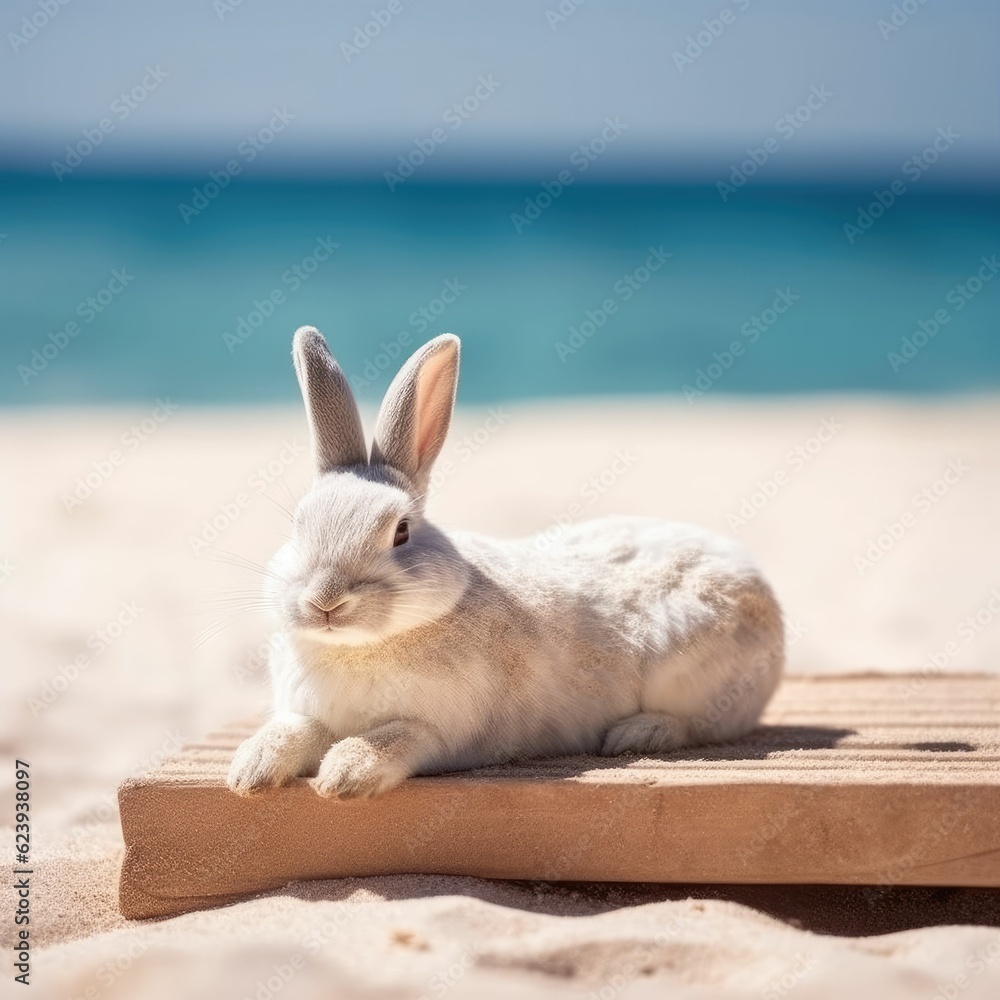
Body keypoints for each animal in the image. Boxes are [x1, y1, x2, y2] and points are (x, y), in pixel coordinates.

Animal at [227, 326, 785, 799]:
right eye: (298, 525)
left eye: (401, 531)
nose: (325, 601)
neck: (362, 646)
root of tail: (760, 588)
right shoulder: (308, 713)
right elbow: (293, 730)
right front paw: (249, 772)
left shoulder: (444, 731)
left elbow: (395, 738)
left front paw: (344, 777)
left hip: (692, 676)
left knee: (702, 723)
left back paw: (638, 734)